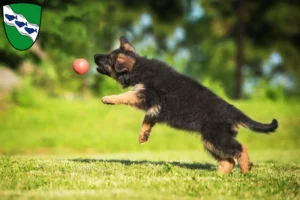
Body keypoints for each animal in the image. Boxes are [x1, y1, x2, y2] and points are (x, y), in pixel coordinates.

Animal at [94, 36, 278, 174]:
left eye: (108, 58)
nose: (95, 55)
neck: (138, 68)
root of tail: (233, 111)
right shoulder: (155, 107)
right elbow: (147, 119)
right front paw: (143, 135)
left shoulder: (147, 95)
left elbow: (127, 95)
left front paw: (108, 98)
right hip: (211, 141)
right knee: (229, 161)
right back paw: (219, 176)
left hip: (216, 137)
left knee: (241, 149)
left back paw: (246, 171)